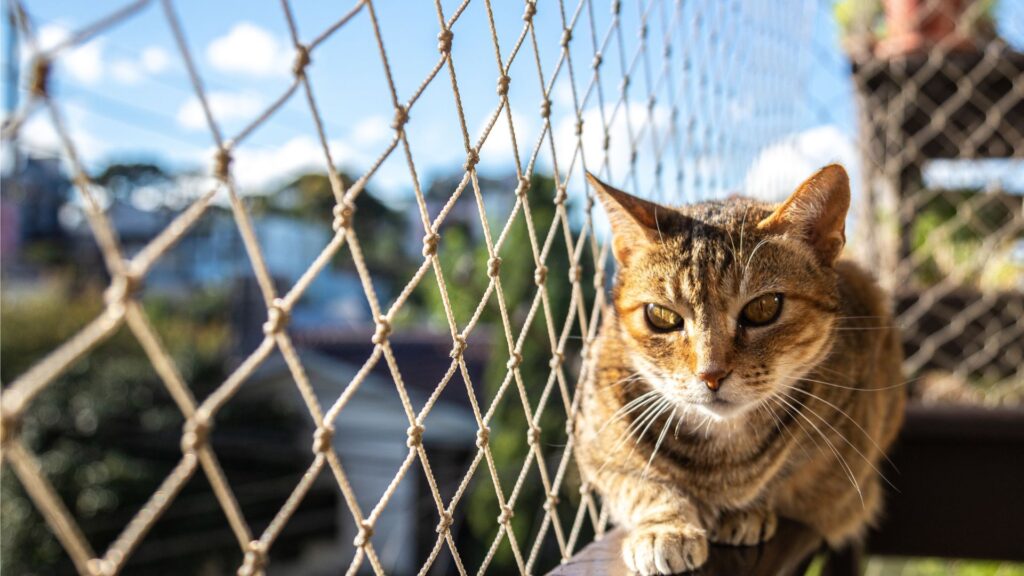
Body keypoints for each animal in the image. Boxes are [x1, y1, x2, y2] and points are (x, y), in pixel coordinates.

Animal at [577, 163, 905, 569]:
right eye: (662, 316)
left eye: (764, 308)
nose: (711, 374)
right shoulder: (595, 442)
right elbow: (640, 485)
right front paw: (665, 527)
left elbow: (787, 474)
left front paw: (749, 510)